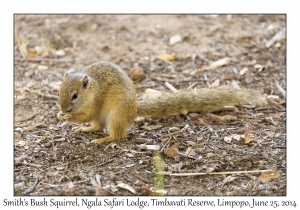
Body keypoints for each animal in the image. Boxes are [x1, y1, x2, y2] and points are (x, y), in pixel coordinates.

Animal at [57, 61, 266, 144]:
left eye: (75, 95)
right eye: (58, 91)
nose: (63, 108)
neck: (92, 89)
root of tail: (134, 109)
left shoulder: (96, 101)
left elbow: (87, 114)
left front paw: (68, 116)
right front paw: (60, 115)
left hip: (116, 115)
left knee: (117, 135)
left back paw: (103, 139)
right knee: (97, 125)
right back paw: (85, 129)